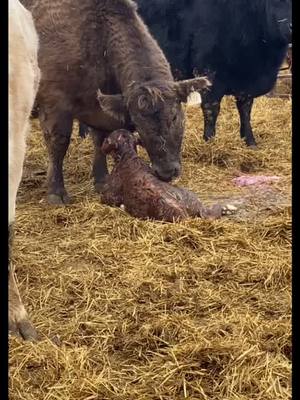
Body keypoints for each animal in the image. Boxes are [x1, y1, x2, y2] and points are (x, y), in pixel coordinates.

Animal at [21, 0, 210, 202]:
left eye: (174, 117)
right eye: (137, 122)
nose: (166, 172)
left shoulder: (98, 110)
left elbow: (100, 141)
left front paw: (102, 179)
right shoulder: (54, 104)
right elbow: (58, 145)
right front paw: (56, 192)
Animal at [135, 0, 290, 147]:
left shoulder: (247, 84)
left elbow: (245, 110)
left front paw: (250, 141)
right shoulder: (210, 74)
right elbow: (211, 110)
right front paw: (209, 142)